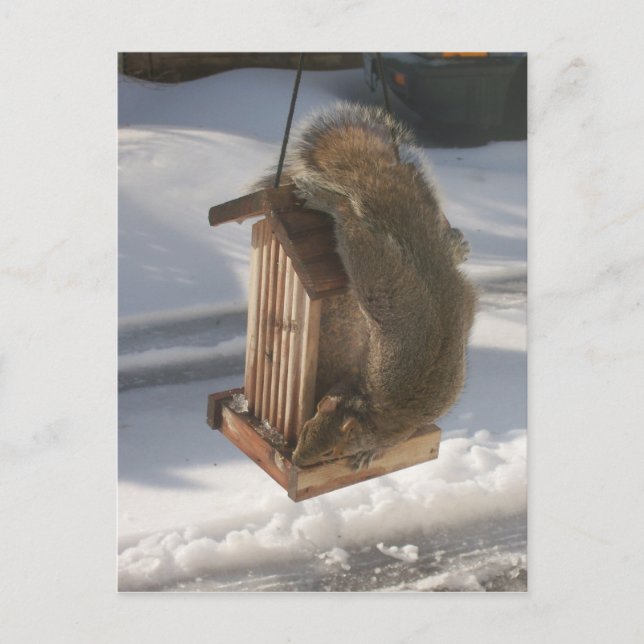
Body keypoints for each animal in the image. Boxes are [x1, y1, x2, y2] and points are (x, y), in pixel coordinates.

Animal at [255, 102, 477, 469]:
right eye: (308, 425)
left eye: (330, 451)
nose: (297, 461)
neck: (367, 413)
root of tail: (431, 270)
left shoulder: (397, 431)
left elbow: (384, 444)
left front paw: (367, 455)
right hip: (383, 279)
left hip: (380, 277)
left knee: (351, 220)